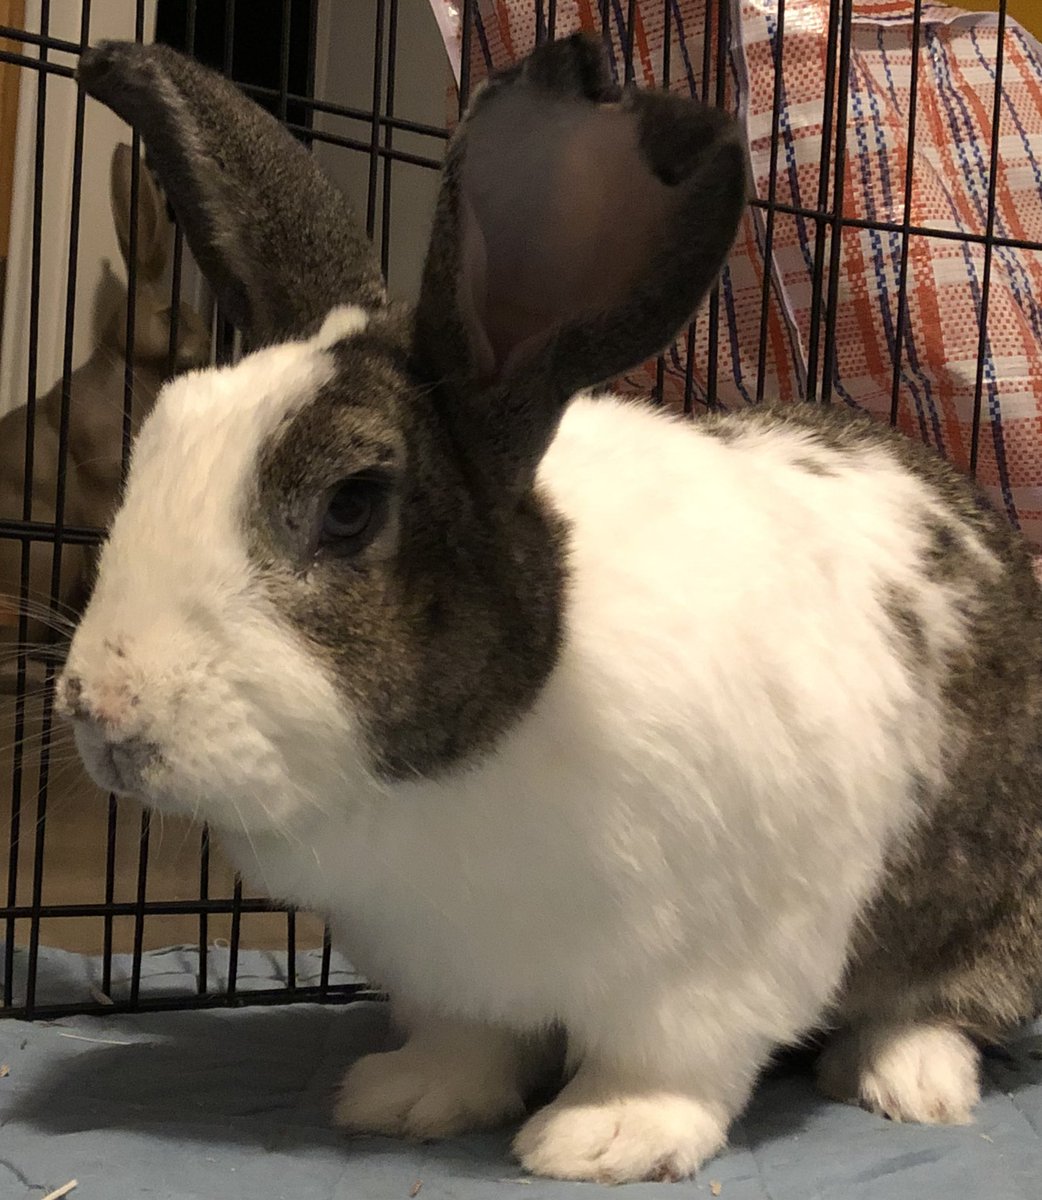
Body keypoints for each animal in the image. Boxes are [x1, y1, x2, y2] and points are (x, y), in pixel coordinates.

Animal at [58, 33, 1042, 1184]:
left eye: (351, 507)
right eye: (153, 441)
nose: (100, 711)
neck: (456, 775)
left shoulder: (715, 967)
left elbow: (667, 1062)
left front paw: (604, 1138)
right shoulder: (453, 976)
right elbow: (468, 1043)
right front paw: (406, 1100)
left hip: (994, 905)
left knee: (944, 1003)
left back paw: (902, 1079)